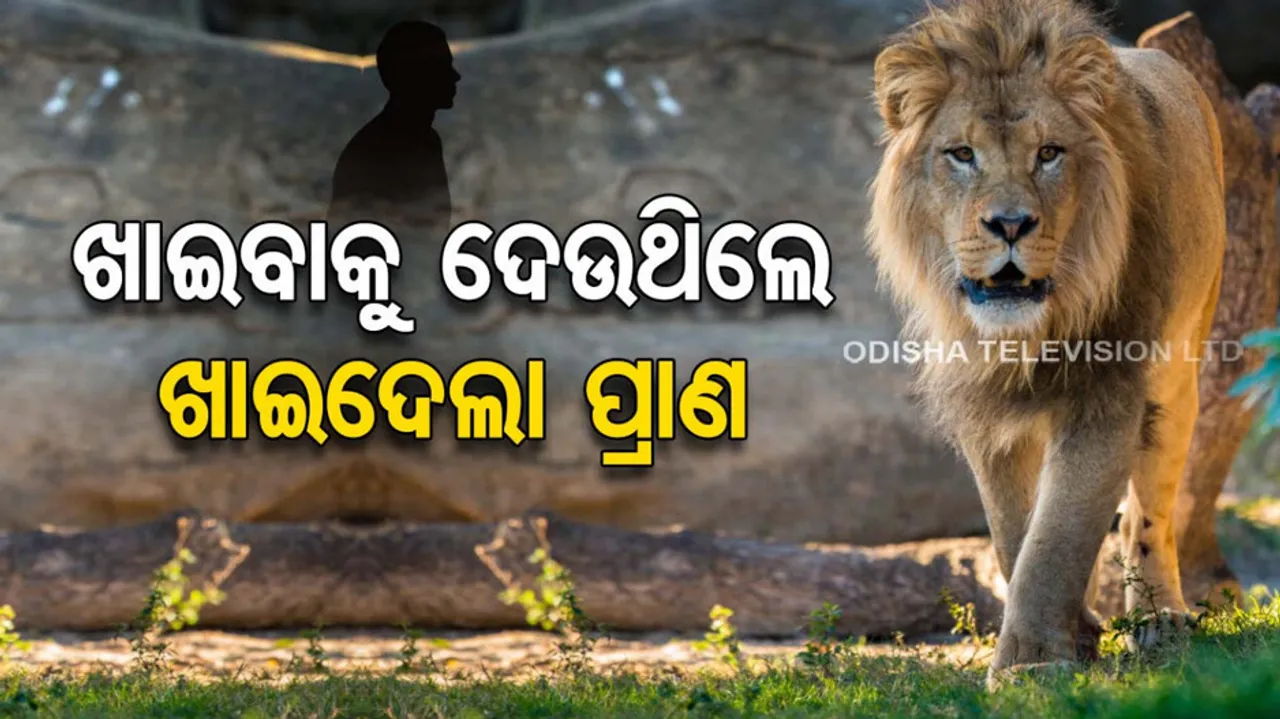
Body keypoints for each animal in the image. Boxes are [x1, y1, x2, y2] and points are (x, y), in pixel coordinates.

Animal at [865, 0, 1226, 688]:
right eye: (961, 154)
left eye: (1050, 153)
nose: (1010, 224)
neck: (1030, 331)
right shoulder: (986, 411)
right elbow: (1016, 534)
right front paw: (1071, 636)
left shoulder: (1106, 394)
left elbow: (1059, 532)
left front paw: (1030, 664)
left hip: (1180, 369)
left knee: (1151, 513)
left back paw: (1160, 621)